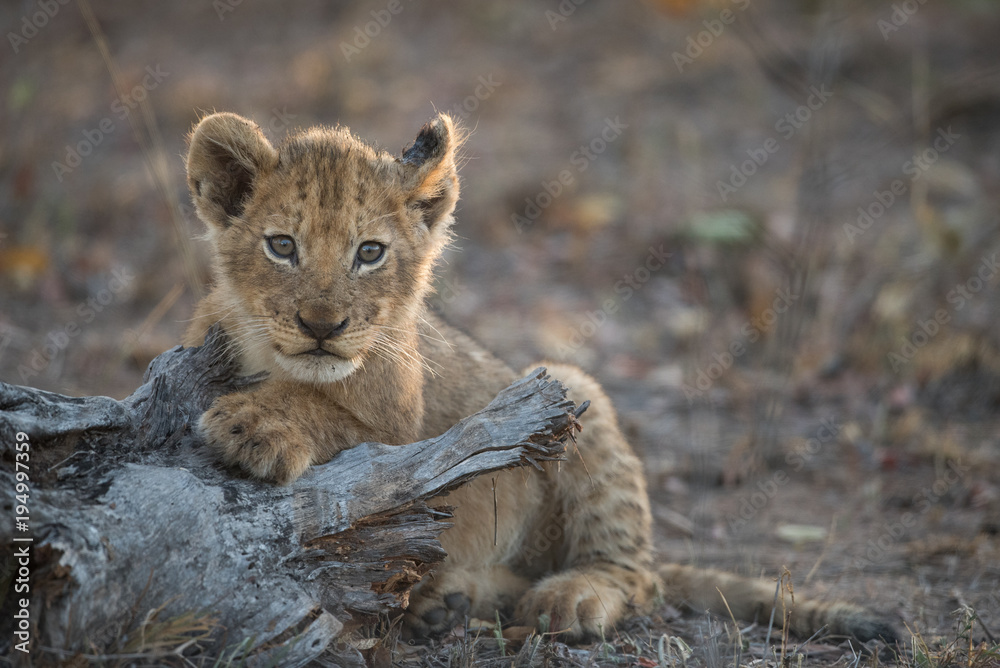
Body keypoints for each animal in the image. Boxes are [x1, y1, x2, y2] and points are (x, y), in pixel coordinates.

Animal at [182, 111, 897, 644]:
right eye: (282, 246)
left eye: (370, 253)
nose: (322, 325)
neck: (273, 355)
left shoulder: (405, 431)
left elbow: (330, 410)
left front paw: (253, 424)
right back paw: (448, 601)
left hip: (573, 389)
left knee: (639, 576)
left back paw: (567, 599)